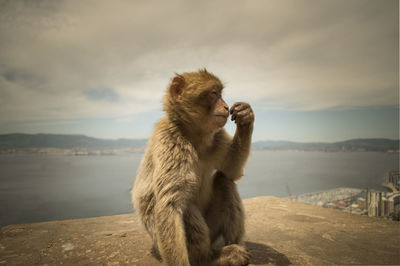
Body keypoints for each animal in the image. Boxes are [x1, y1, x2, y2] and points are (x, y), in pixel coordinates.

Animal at [133, 69, 255, 264]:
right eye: (214, 93)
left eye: (221, 93)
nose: (226, 106)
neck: (195, 136)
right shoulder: (171, 139)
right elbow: (169, 204)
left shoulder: (217, 136)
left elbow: (231, 169)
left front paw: (246, 116)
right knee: (185, 206)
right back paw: (211, 258)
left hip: (213, 230)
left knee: (224, 181)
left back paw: (234, 244)